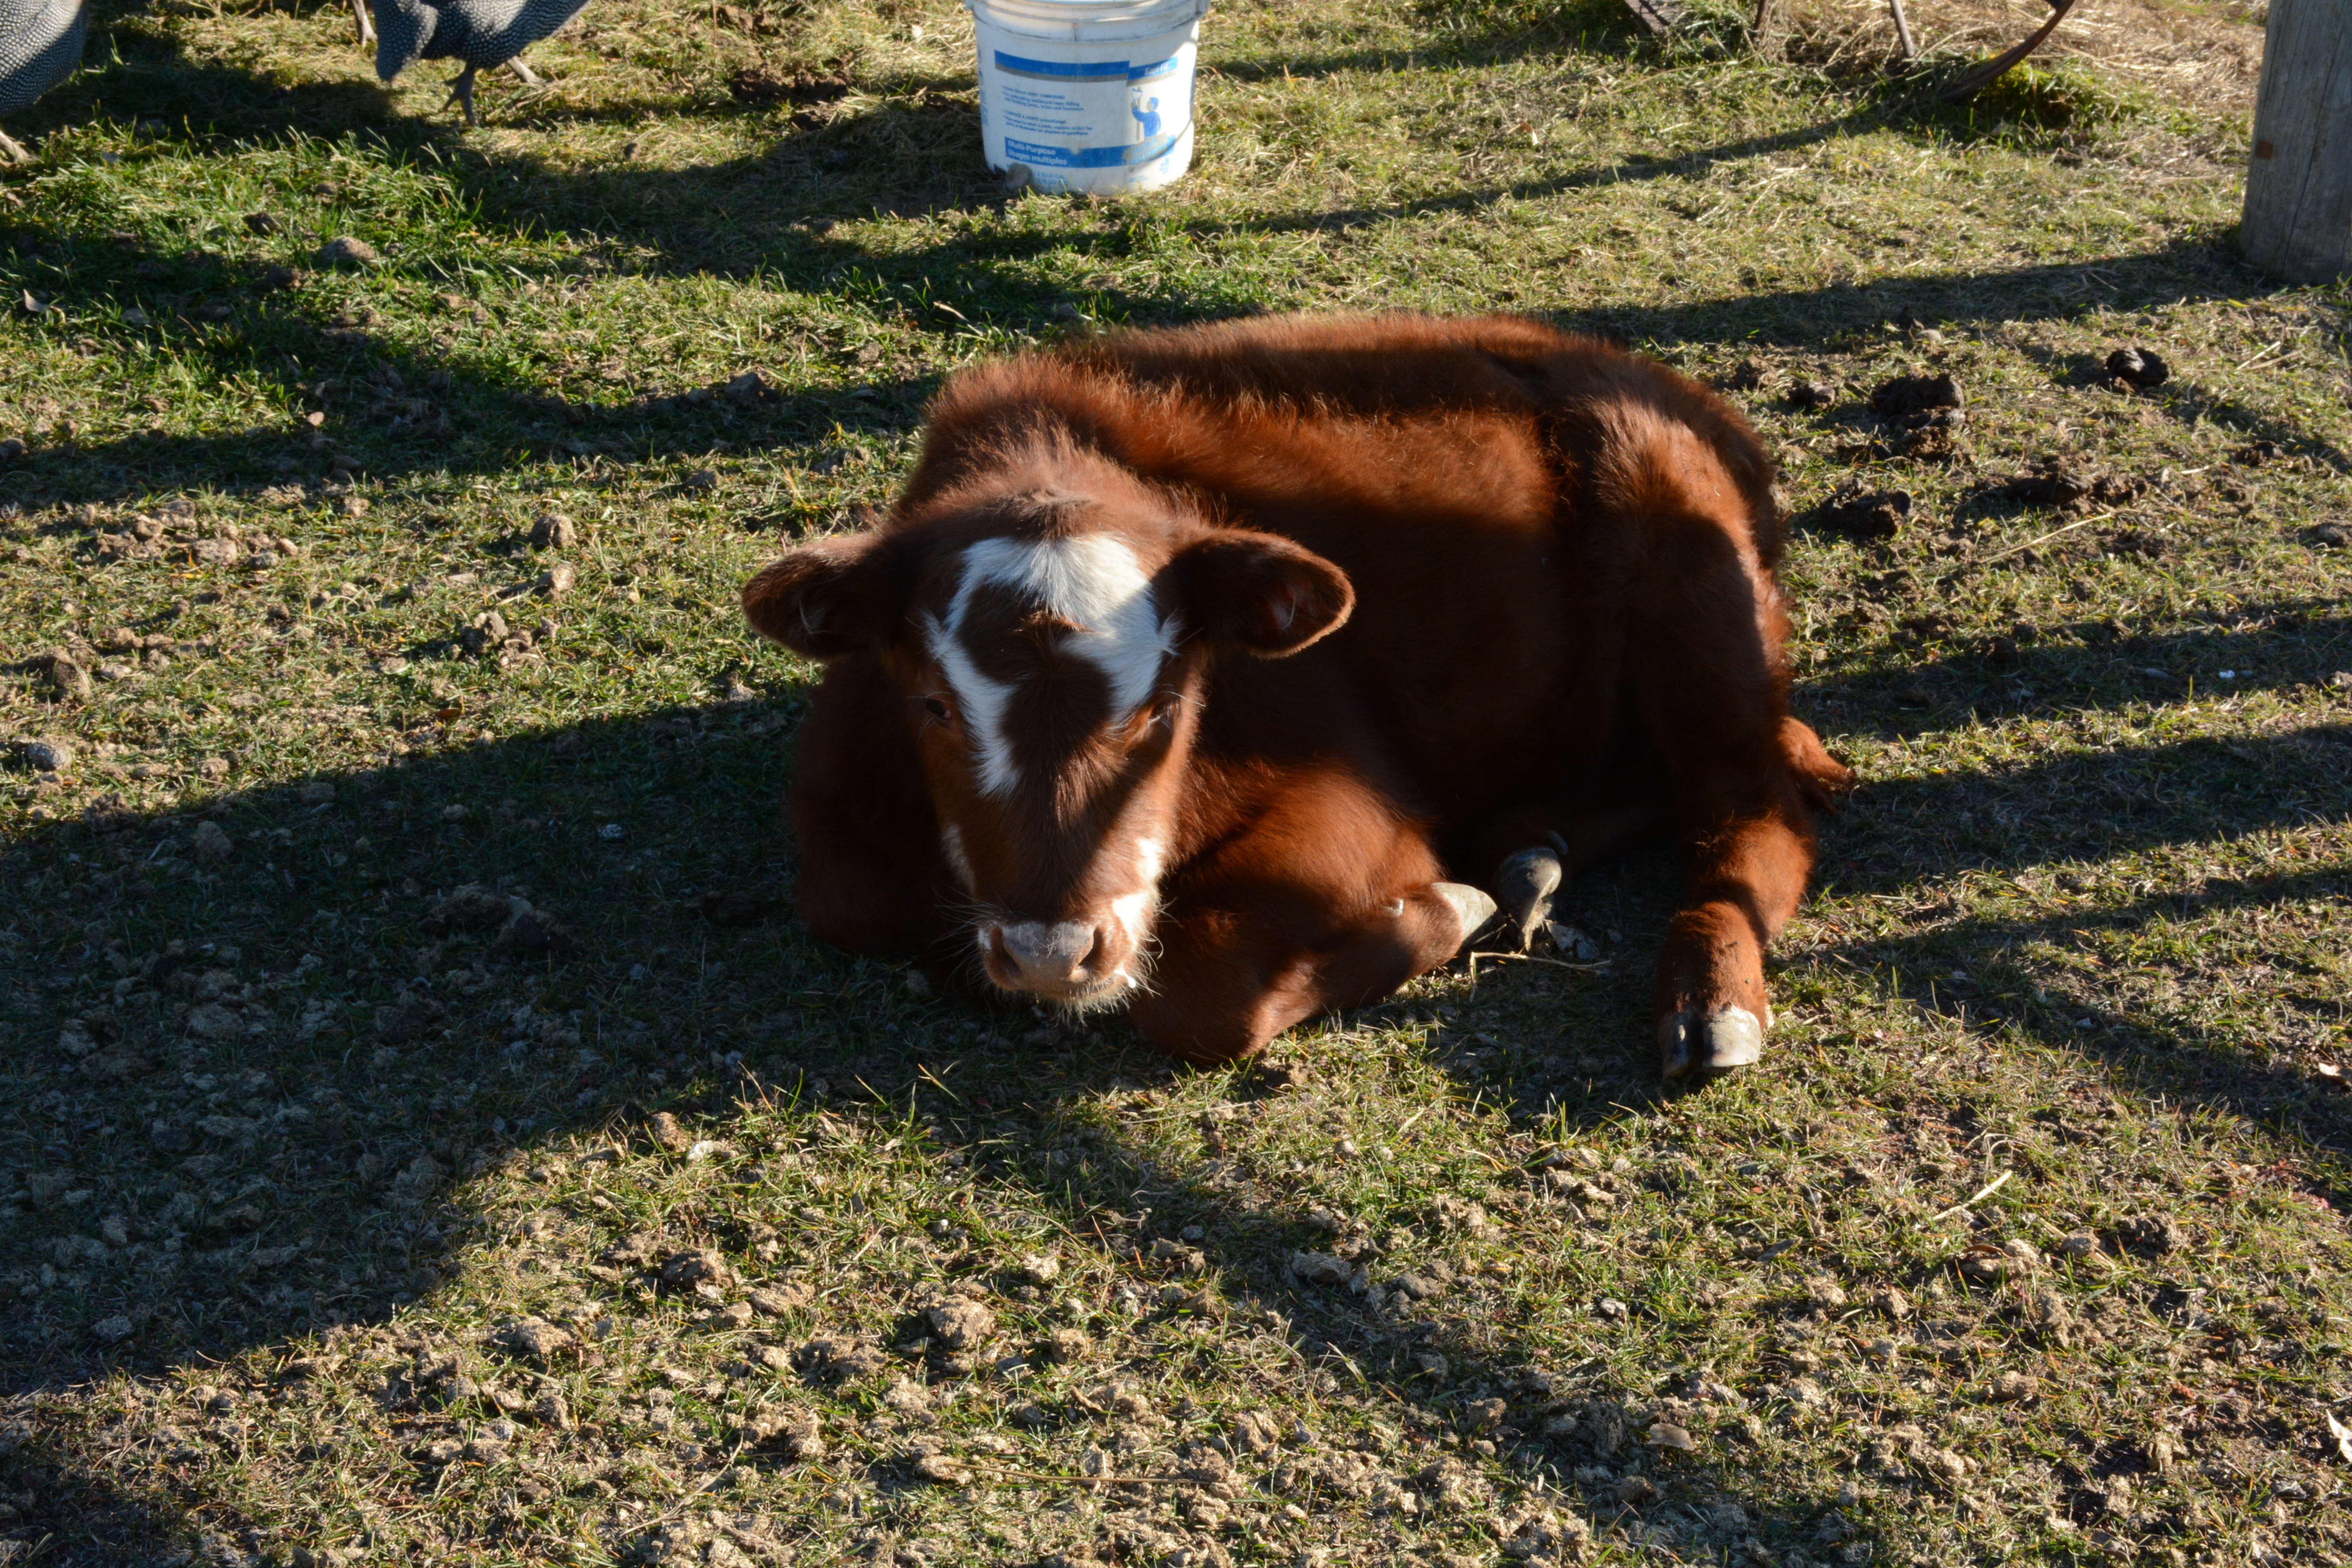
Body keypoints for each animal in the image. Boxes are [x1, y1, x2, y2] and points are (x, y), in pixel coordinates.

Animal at [742, 313, 1853, 1078]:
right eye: (932, 705)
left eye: (1167, 707)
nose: (1053, 952)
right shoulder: (833, 809)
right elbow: (845, 896)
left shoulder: (1355, 807)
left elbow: (1201, 992)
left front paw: (1448, 906)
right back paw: (1531, 849)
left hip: (1692, 579)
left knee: (1760, 807)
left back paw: (1709, 998)